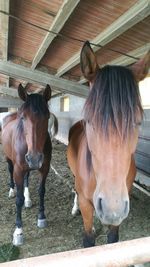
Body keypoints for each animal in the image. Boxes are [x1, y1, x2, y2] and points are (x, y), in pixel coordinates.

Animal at [1, 84, 52, 247]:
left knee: (27, 178)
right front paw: (18, 231)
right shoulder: (18, 170)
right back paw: (12, 190)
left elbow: (42, 191)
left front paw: (41, 217)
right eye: (23, 117)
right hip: (10, 160)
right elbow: (18, 200)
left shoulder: (45, 168)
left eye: (47, 116)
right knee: (10, 171)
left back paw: (28, 198)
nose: (35, 158)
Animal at [67, 42, 150, 249]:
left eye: (137, 122)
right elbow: (88, 240)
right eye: (89, 120)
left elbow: (113, 240)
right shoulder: (87, 204)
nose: (112, 208)